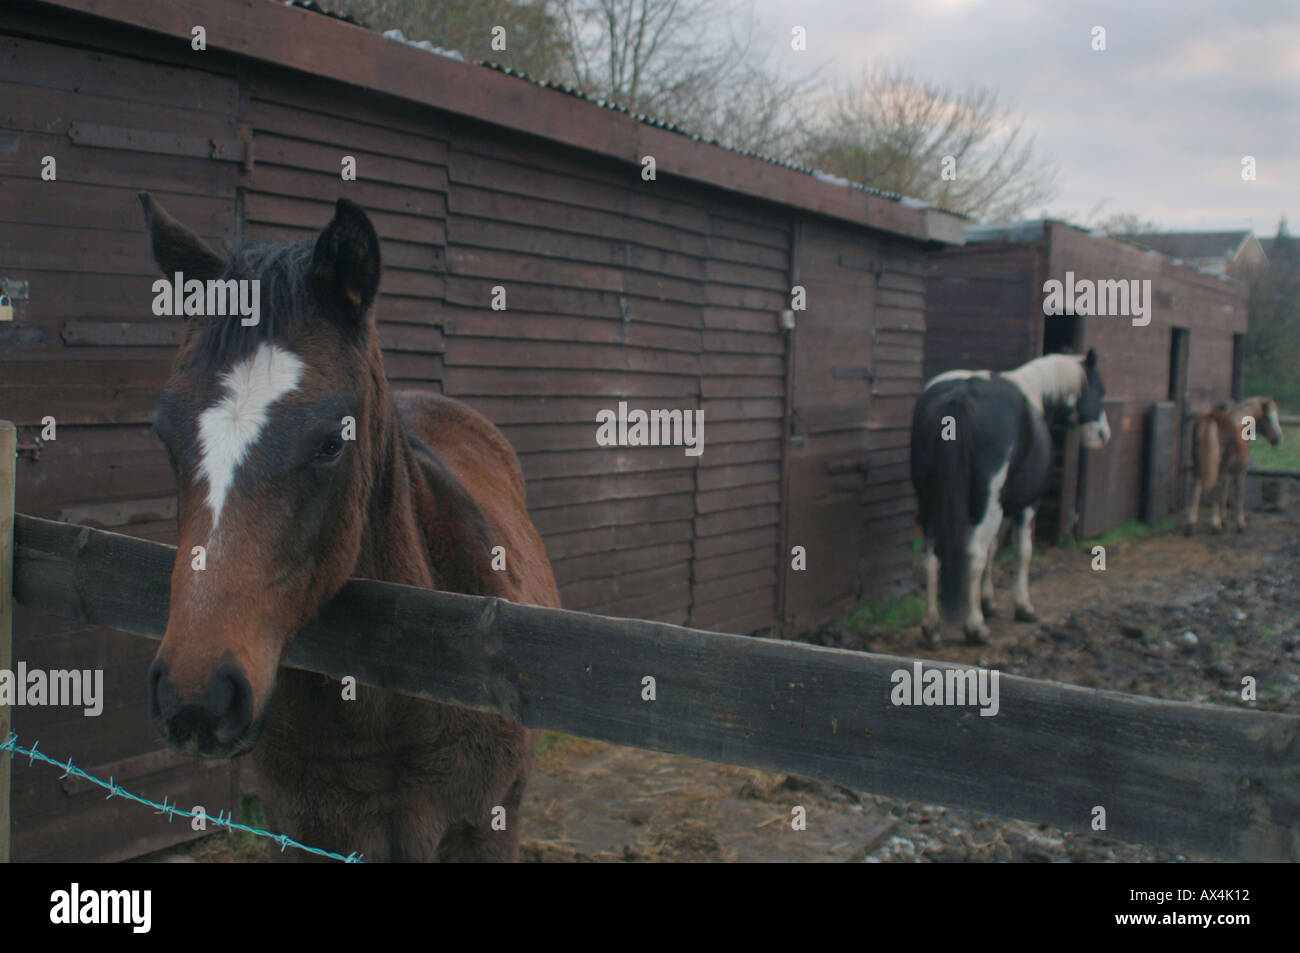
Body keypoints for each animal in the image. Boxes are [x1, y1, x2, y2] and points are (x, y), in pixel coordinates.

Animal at [910, 350, 1110, 646]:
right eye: (1099, 388)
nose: (1103, 435)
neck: (1036, 392)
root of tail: (960, 395)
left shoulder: (1000, 508)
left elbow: (994, 548)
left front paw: (988, 601)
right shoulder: (1025, 506)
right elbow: (1021, 552)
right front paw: (1023, 607)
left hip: (930, 503)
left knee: (932, 558)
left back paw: (931, 627)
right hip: (988, 507)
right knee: (974, 554)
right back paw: (975, 627)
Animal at [1185, 396, 1283, 534]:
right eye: (1269, 418)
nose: (1278, 439)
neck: (1240, 426)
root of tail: (1211, 417)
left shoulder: (1227, 472)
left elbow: (1224, 494)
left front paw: (1225, 521)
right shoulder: (1240, 471)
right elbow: (1238, 494)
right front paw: (1240, 524)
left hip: (1199, 464)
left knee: (1196, 488)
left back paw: (1190, 525)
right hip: (1218, 467)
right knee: (1215, 490)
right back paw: (1215, 525)